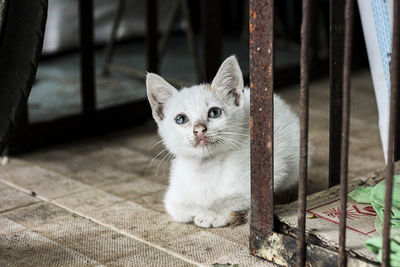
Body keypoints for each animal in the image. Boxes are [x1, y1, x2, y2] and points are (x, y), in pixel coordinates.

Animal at [145, 55, 298, 229]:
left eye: (214, 112)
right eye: (181, 119)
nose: (199, 129)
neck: (205, 168)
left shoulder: (270, 172)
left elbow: (236, 199)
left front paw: (211, 215)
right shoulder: (175, 190)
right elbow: (174, 206)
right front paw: (194, 210)